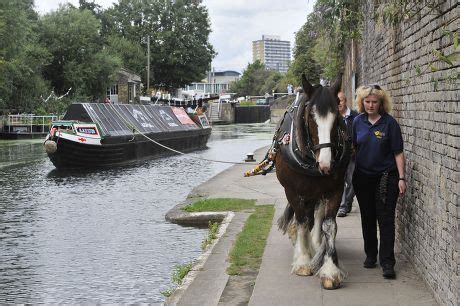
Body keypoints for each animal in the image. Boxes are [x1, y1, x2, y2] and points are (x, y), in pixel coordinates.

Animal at [274, 74, 350, 290]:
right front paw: (303, 261)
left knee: (317, 215)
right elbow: (301, 221)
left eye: (337, 117)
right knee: (306, 217)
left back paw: (316, 244)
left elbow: (328, 225)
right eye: (310, 117)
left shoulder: (335, 189)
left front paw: (330, 270)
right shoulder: (292, 190)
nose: (326, 164)